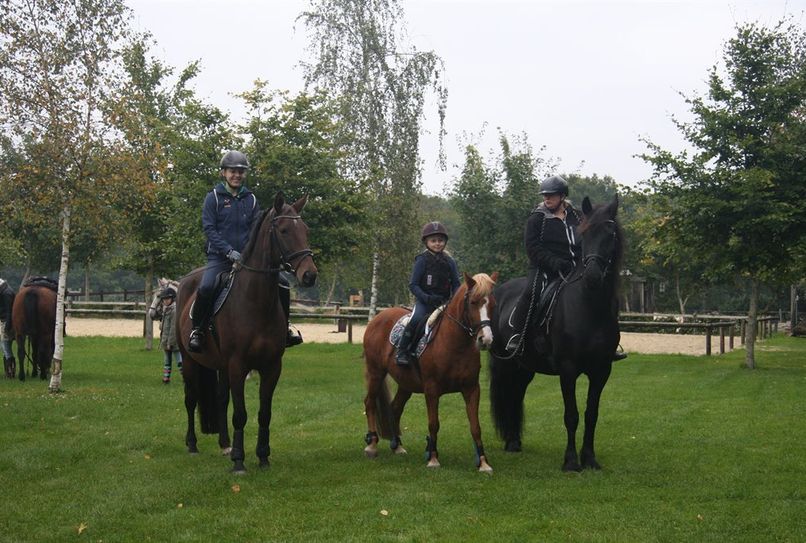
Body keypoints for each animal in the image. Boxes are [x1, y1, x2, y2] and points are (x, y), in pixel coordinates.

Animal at [178, 193, 318, 474]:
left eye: (306, 230)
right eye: (284, 230)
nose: (309, 275)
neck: (255, 300)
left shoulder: (272, 367)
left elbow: (264, 413)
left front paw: (263, 457)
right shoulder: (237, 365)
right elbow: (240, 414)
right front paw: (239, 461)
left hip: (220, 366)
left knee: (220, 399)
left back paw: (225, 444)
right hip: (189, 360)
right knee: (191, 399)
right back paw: (193, 444)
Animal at [362, 272, 498, 472]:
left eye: (492, 304)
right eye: (473, 302)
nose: (486, 339)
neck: (455, 345)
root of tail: (378, 318)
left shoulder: (472, 389)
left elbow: (476, 427)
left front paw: (483, 462)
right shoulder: (432, 390)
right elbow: (434, 424)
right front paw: (433, 458)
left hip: (405, 383)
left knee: (395, 408)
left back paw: (397, 445)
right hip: (375, 373)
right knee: (370, 403)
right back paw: (371, 445)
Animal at [486, 197, 624, 472]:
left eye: (610, 234)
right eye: (584, 234)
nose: (592, 277)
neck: (589, 308)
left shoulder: (602, 370)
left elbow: (592, 414)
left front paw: (590, 459)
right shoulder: (568, 369)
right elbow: (571, 415)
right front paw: (571, 461)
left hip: (524, 367)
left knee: (516, 394)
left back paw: (515, 441)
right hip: (505, 363)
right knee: (507, 394)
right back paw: (511, 442)